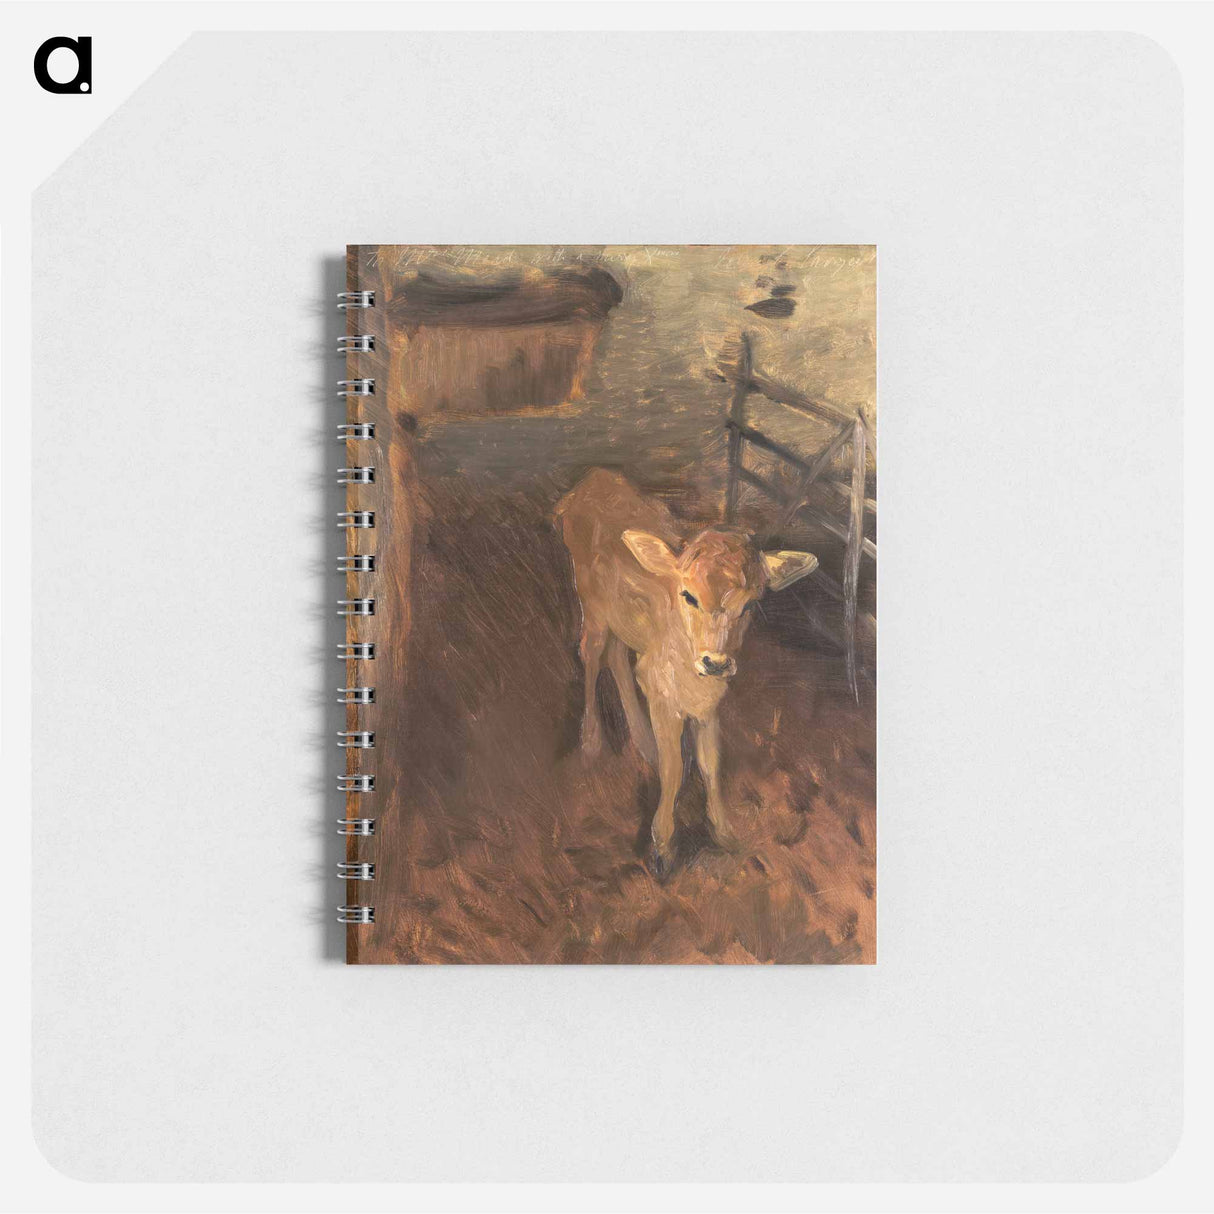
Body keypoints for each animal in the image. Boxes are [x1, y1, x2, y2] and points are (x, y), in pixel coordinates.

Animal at [555, 468, 817, 875]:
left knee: (617, 656)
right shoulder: (664, 695)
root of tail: (589, 481)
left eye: (750, 604)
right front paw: (663, 847)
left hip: (621, 621)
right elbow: (674, 768)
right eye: (689, 595)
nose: (716, 661)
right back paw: (591, 740)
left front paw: (724, 832)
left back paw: (642, 741)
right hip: (591, 603)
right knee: (591, 653)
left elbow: (710, 764)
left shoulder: (707, 702)